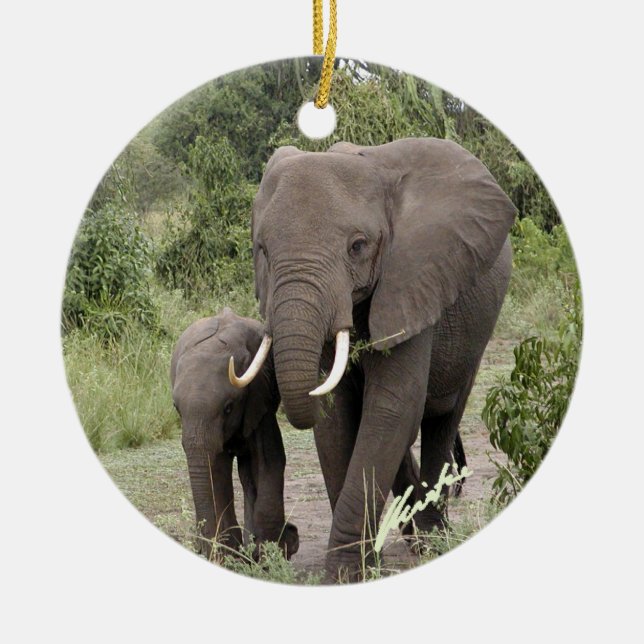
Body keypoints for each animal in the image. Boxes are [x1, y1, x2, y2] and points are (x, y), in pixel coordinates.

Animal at [171, 308, 299, 561]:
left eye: (228, 408)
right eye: (177, 409)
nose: (293, 531)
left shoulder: (259, 396)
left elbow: (269, 459)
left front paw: (268, 552)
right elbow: (216, 469)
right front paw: (228, 555)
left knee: (249, 473)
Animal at [230, 137, 516, 581]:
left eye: (358, 246)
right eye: (262, 250)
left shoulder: (415, 278)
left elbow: (391, 408)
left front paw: (347, 572)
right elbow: (337, 417)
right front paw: (357, 568)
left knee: (442, 418)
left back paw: (431, 541)